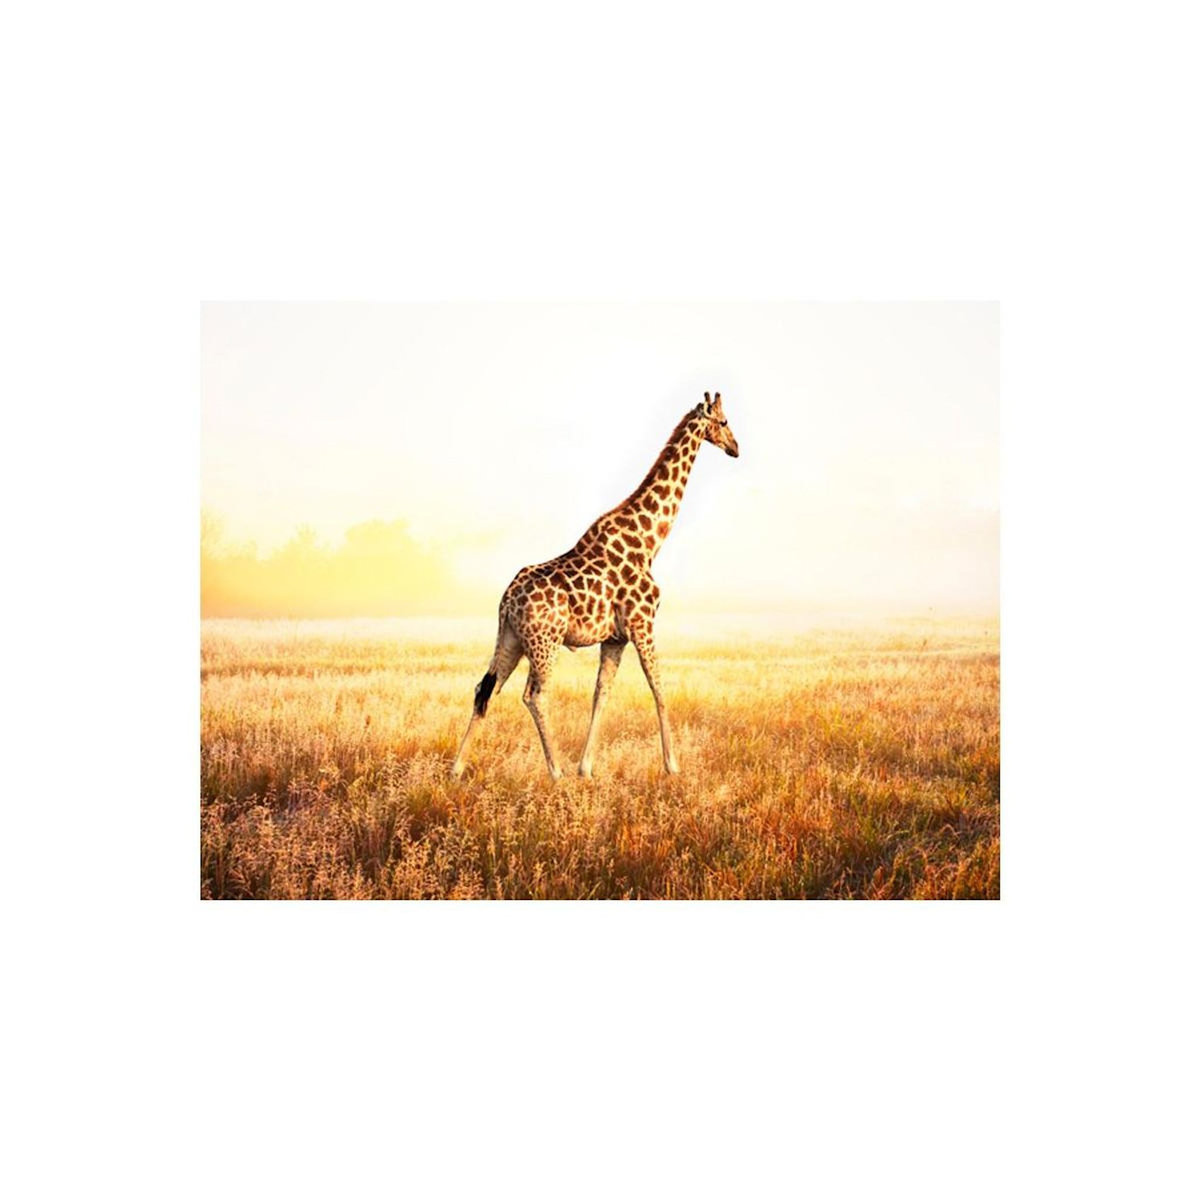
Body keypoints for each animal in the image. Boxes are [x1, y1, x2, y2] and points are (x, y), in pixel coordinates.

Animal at [451, 392, 740, 781]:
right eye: (724, 422)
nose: (736, 448)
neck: (649, 540)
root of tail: (506, 601)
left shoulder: (615, 637)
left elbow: (601, 693)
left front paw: (586, 767)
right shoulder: (642, 623)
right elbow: (658, 687)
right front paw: (672, 765)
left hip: (511, 638)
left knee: (485, 688)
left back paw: (457, 768)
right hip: (544, 642)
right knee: (534, 694)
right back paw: (555, 771)